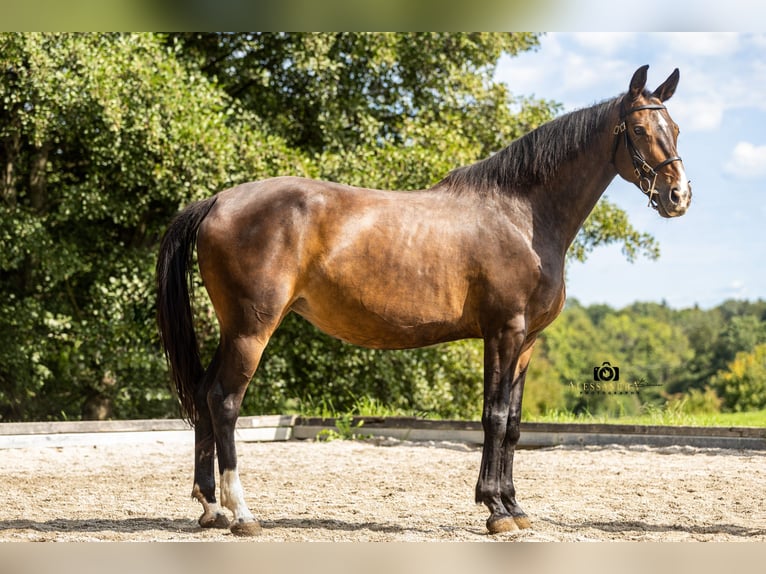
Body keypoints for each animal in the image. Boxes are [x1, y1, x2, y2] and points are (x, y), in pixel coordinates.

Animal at [156, 65, 691, 536]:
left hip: (233, 330)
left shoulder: (528, 341)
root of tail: (218, 201)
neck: (521, 214)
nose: (679, 196)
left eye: (676, 129)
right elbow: (494, 416)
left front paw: (515, 506)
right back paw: (241, 513)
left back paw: (210, 508)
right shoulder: (503, 332)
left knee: (203, 395)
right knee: (225, 402)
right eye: (639, 129)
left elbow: (515, 424)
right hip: (252, 329)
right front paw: (495, 509)